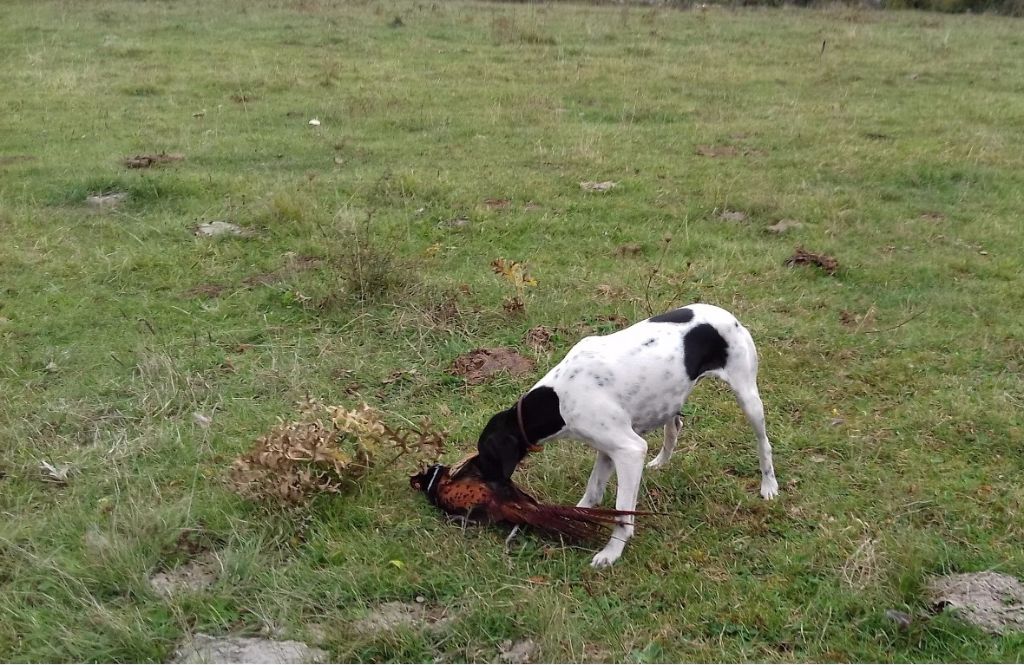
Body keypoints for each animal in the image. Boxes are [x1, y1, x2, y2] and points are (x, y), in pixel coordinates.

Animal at [475, 301, 778, 565]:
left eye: (486, 455)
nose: (482, 486)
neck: (557, 400)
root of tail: (727, 314)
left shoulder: (630, 451)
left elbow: (623, 513)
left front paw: (611, 552)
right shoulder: (609, 451)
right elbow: (593, 493)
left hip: (748, 398)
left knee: (764, 444)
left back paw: (769, 485)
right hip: (669, 399)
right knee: (674, 427)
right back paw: (661, 462)